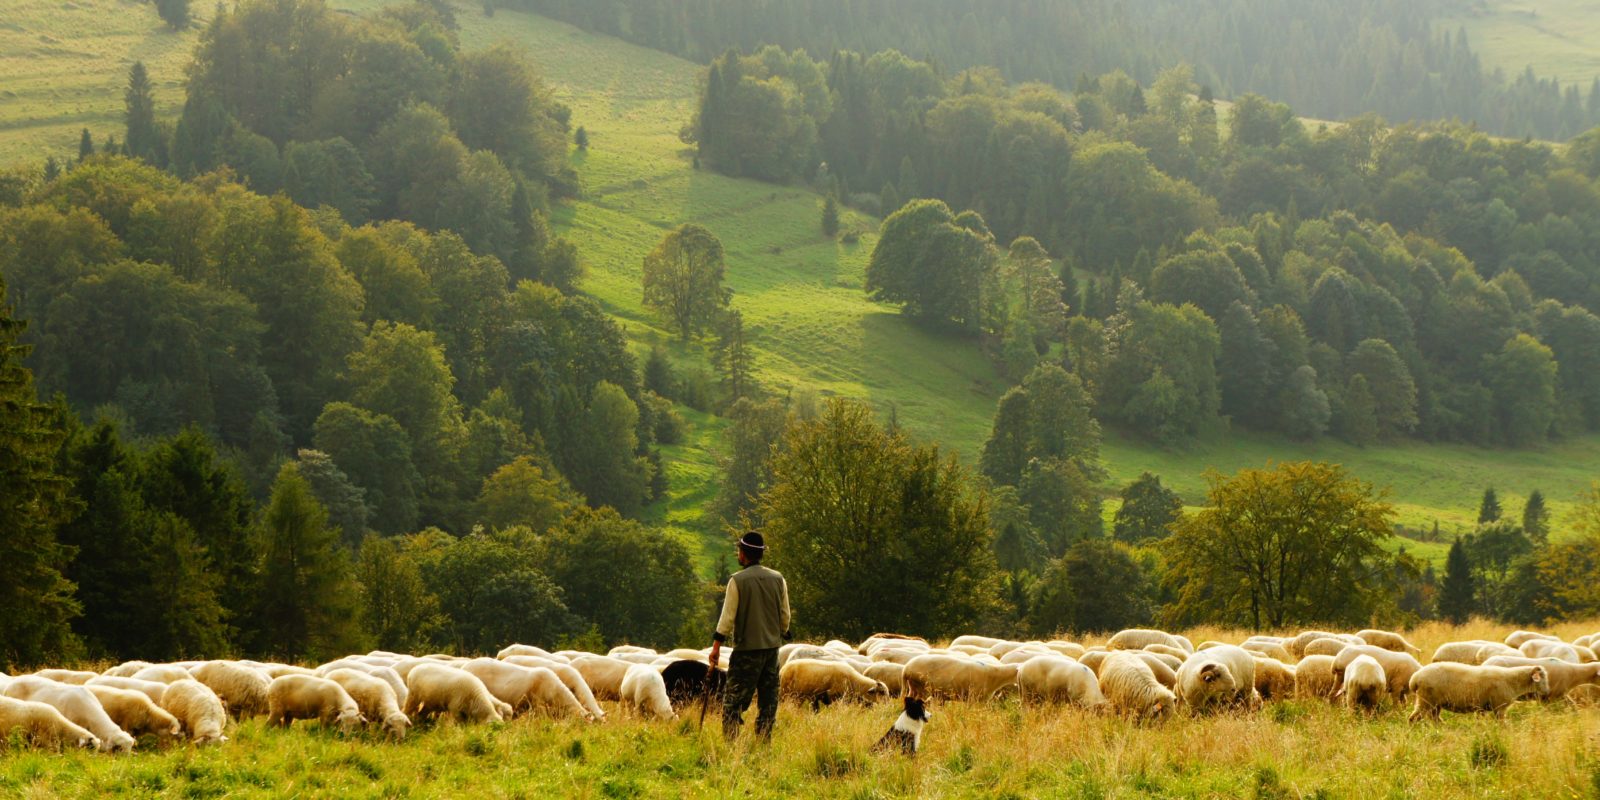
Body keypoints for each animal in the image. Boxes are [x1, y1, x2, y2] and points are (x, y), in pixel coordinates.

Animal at [1414, 659, 1548, 723]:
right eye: (1542, 677)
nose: (1547, 692)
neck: (1512, 681)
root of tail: (1415, 678)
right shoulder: (1499, 707)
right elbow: (1502, 724)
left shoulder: (1482, 708)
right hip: (1426, 701)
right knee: (1414, 718)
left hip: (1434, 704)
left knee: (1434, 719)